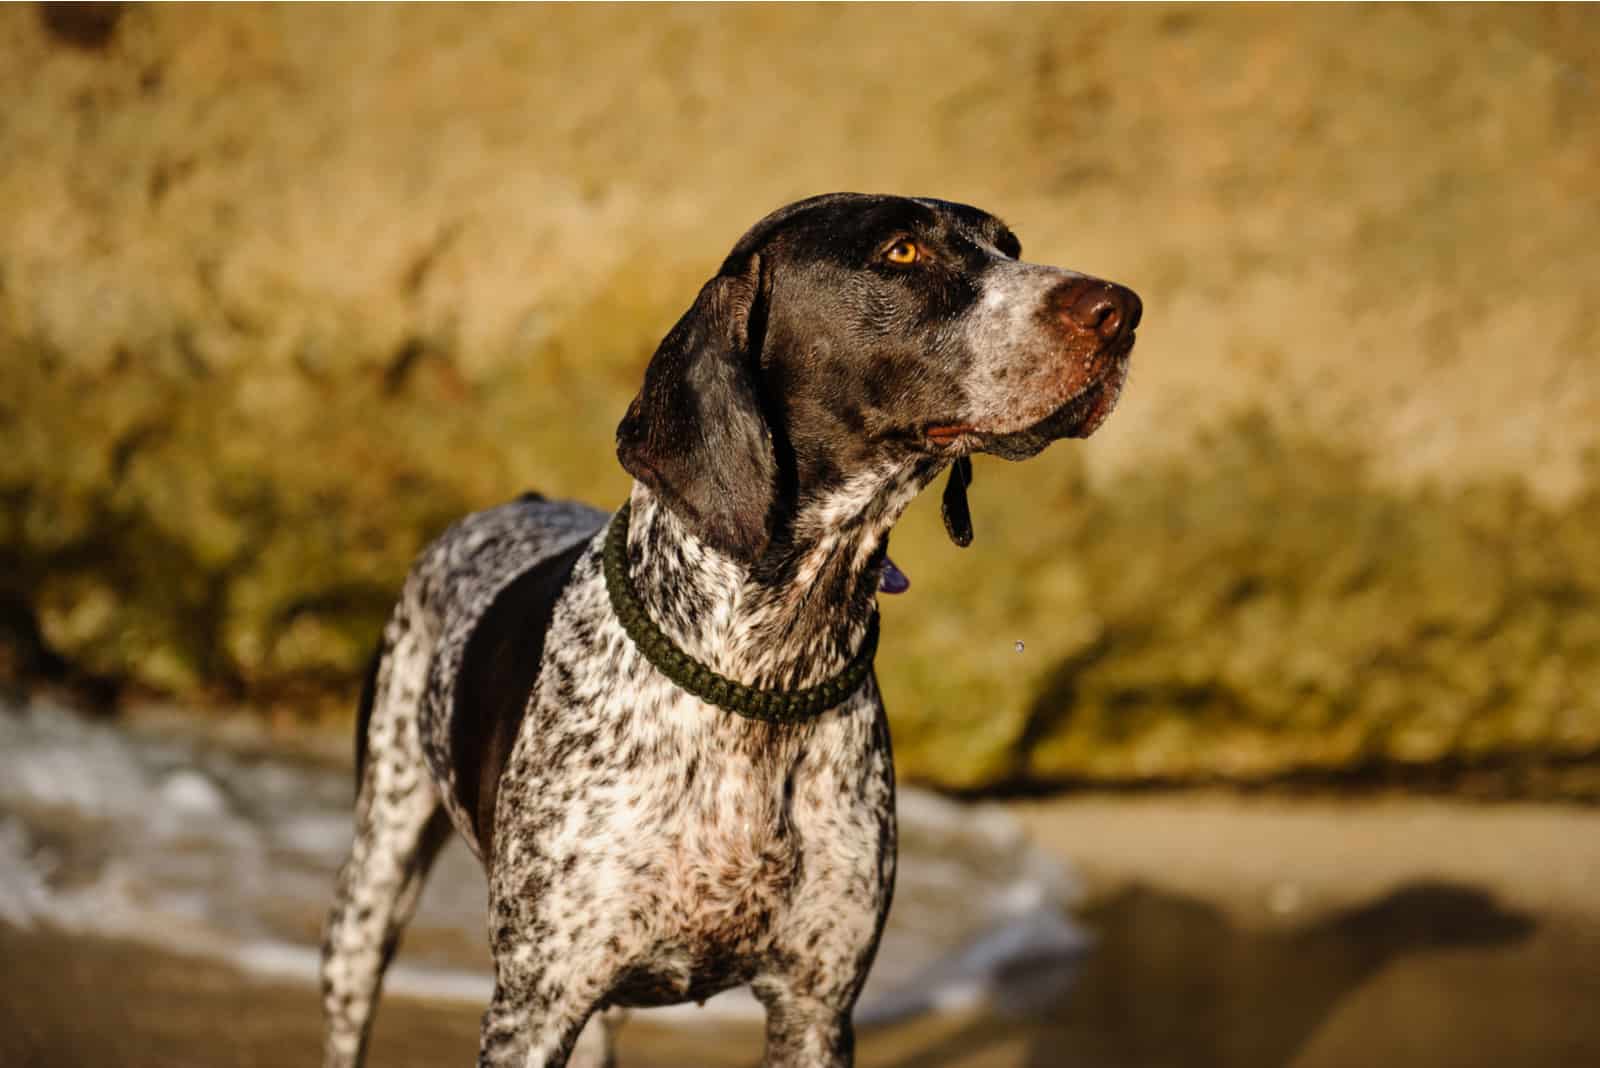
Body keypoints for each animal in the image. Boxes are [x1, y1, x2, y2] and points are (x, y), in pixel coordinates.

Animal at [318, 194, 1139, 1068]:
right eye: (902, 252)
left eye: (1009, 246)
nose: (1122, 309)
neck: (766, 661)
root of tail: (517, 502)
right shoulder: (533, 1008)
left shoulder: (816, 1008)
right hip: (373, 887)